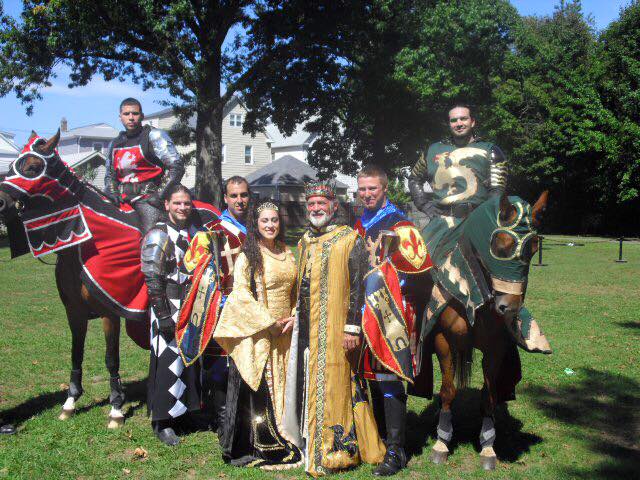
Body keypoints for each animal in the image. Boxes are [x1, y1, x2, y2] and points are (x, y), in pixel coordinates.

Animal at [420, 190, 552, 468]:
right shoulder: (443, 341)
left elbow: (489, 396)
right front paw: (441, 442)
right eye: (499, 245)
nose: (509, 307)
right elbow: (448, 391)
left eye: (534, 247)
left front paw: (488, 447)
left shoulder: (495, 349)